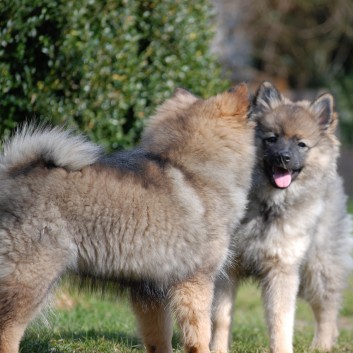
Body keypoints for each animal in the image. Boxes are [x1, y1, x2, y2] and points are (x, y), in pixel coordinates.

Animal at [0, 84, 254, 350]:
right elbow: (200, 335)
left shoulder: (149, 292)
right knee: (7, 331)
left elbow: (159, 339)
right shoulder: (196, 281)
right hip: (30, 279)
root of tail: (10, 175)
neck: (195, 171)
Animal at [210, 82, 350, 352]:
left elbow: (281, 320)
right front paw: (218, 348)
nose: (283, 157)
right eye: (271, 139)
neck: (268, 204)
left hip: (318, 267)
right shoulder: (228, 268)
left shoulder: (282, 269)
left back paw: (322, 344)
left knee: (327, 308)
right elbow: (221, 317)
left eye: (301, 144)